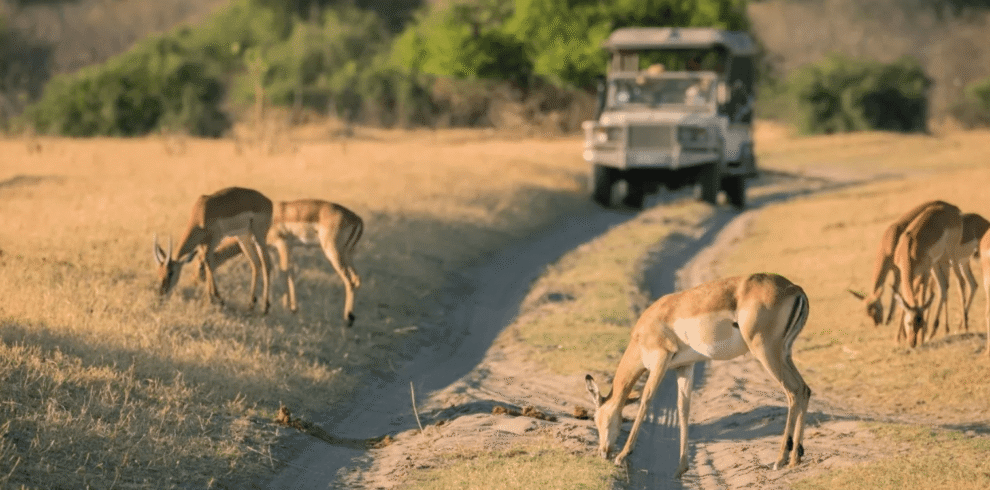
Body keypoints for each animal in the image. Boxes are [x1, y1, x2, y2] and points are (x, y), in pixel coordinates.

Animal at [195, 199, 363, 326]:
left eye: (201, 264)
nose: (197, 280)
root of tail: (357, 219)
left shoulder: (282, 244)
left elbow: (284, 272)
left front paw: (286, 307)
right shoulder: (281, 248)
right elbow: (286, 272)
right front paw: (290, 307)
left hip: (333, 253)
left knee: (349, 281)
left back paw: (348, 318)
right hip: (348, 255)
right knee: (356, 279)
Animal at [585, 273, 811, 477]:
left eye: (597, 419)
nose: (603, 453)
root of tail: (795, 289)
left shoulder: (660, 360)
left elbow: (646, 400)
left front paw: (622, 455)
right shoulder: (684, 366)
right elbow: (683, 409)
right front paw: (681, 468)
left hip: (766, 352)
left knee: (792, 392)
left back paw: (779, 460)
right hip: (784, 353)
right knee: (804, 389)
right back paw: (795, 459)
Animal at [891, 201, 962, 347]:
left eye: (920, 322)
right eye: (909, 322)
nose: (912, 343)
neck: (909, 249)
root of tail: (954, 210)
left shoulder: (925, 272)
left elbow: (922, 297)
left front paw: (922, 337)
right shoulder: (904, 273)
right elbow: (905, 298)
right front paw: (898, 338)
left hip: (951, 256)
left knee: (960, 281)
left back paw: (962, 326)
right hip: (939, 261)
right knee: (944, 287)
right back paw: (938, 330)